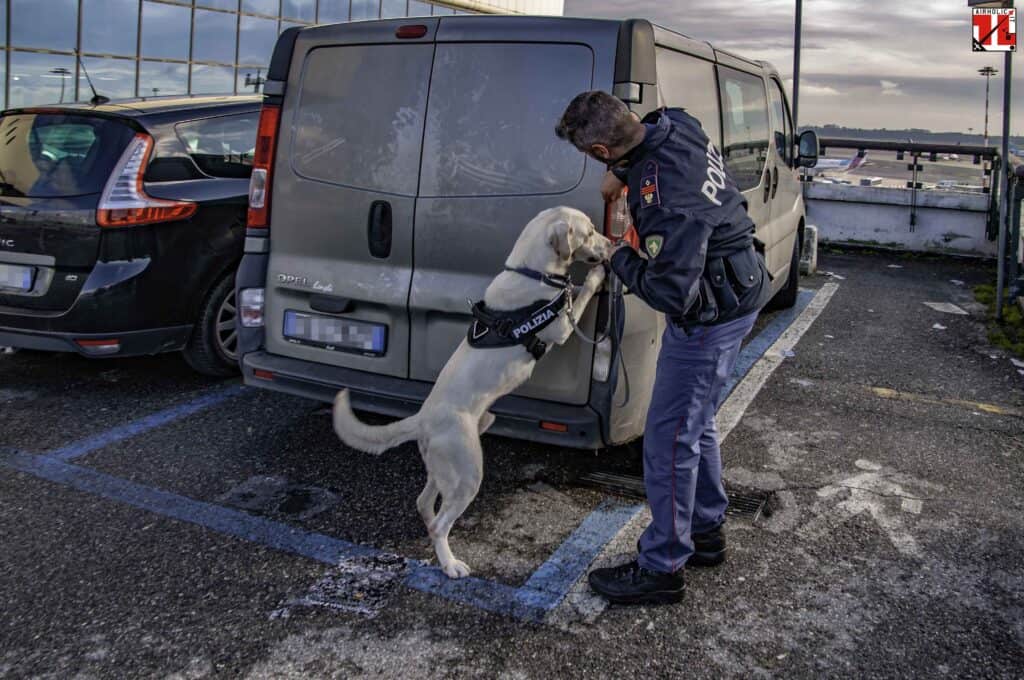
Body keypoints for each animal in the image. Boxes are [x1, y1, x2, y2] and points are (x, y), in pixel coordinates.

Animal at [333, 204, 606, 577]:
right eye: (590, 231)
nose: (612, 245)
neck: (531, 271)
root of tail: (422, 418)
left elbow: (572, 290)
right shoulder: (562, 328)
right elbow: (578, 295)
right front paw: (598, 277)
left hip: (450, 461)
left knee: (425, 503)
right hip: (468, 471)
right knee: (439, 522)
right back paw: (450, 564)